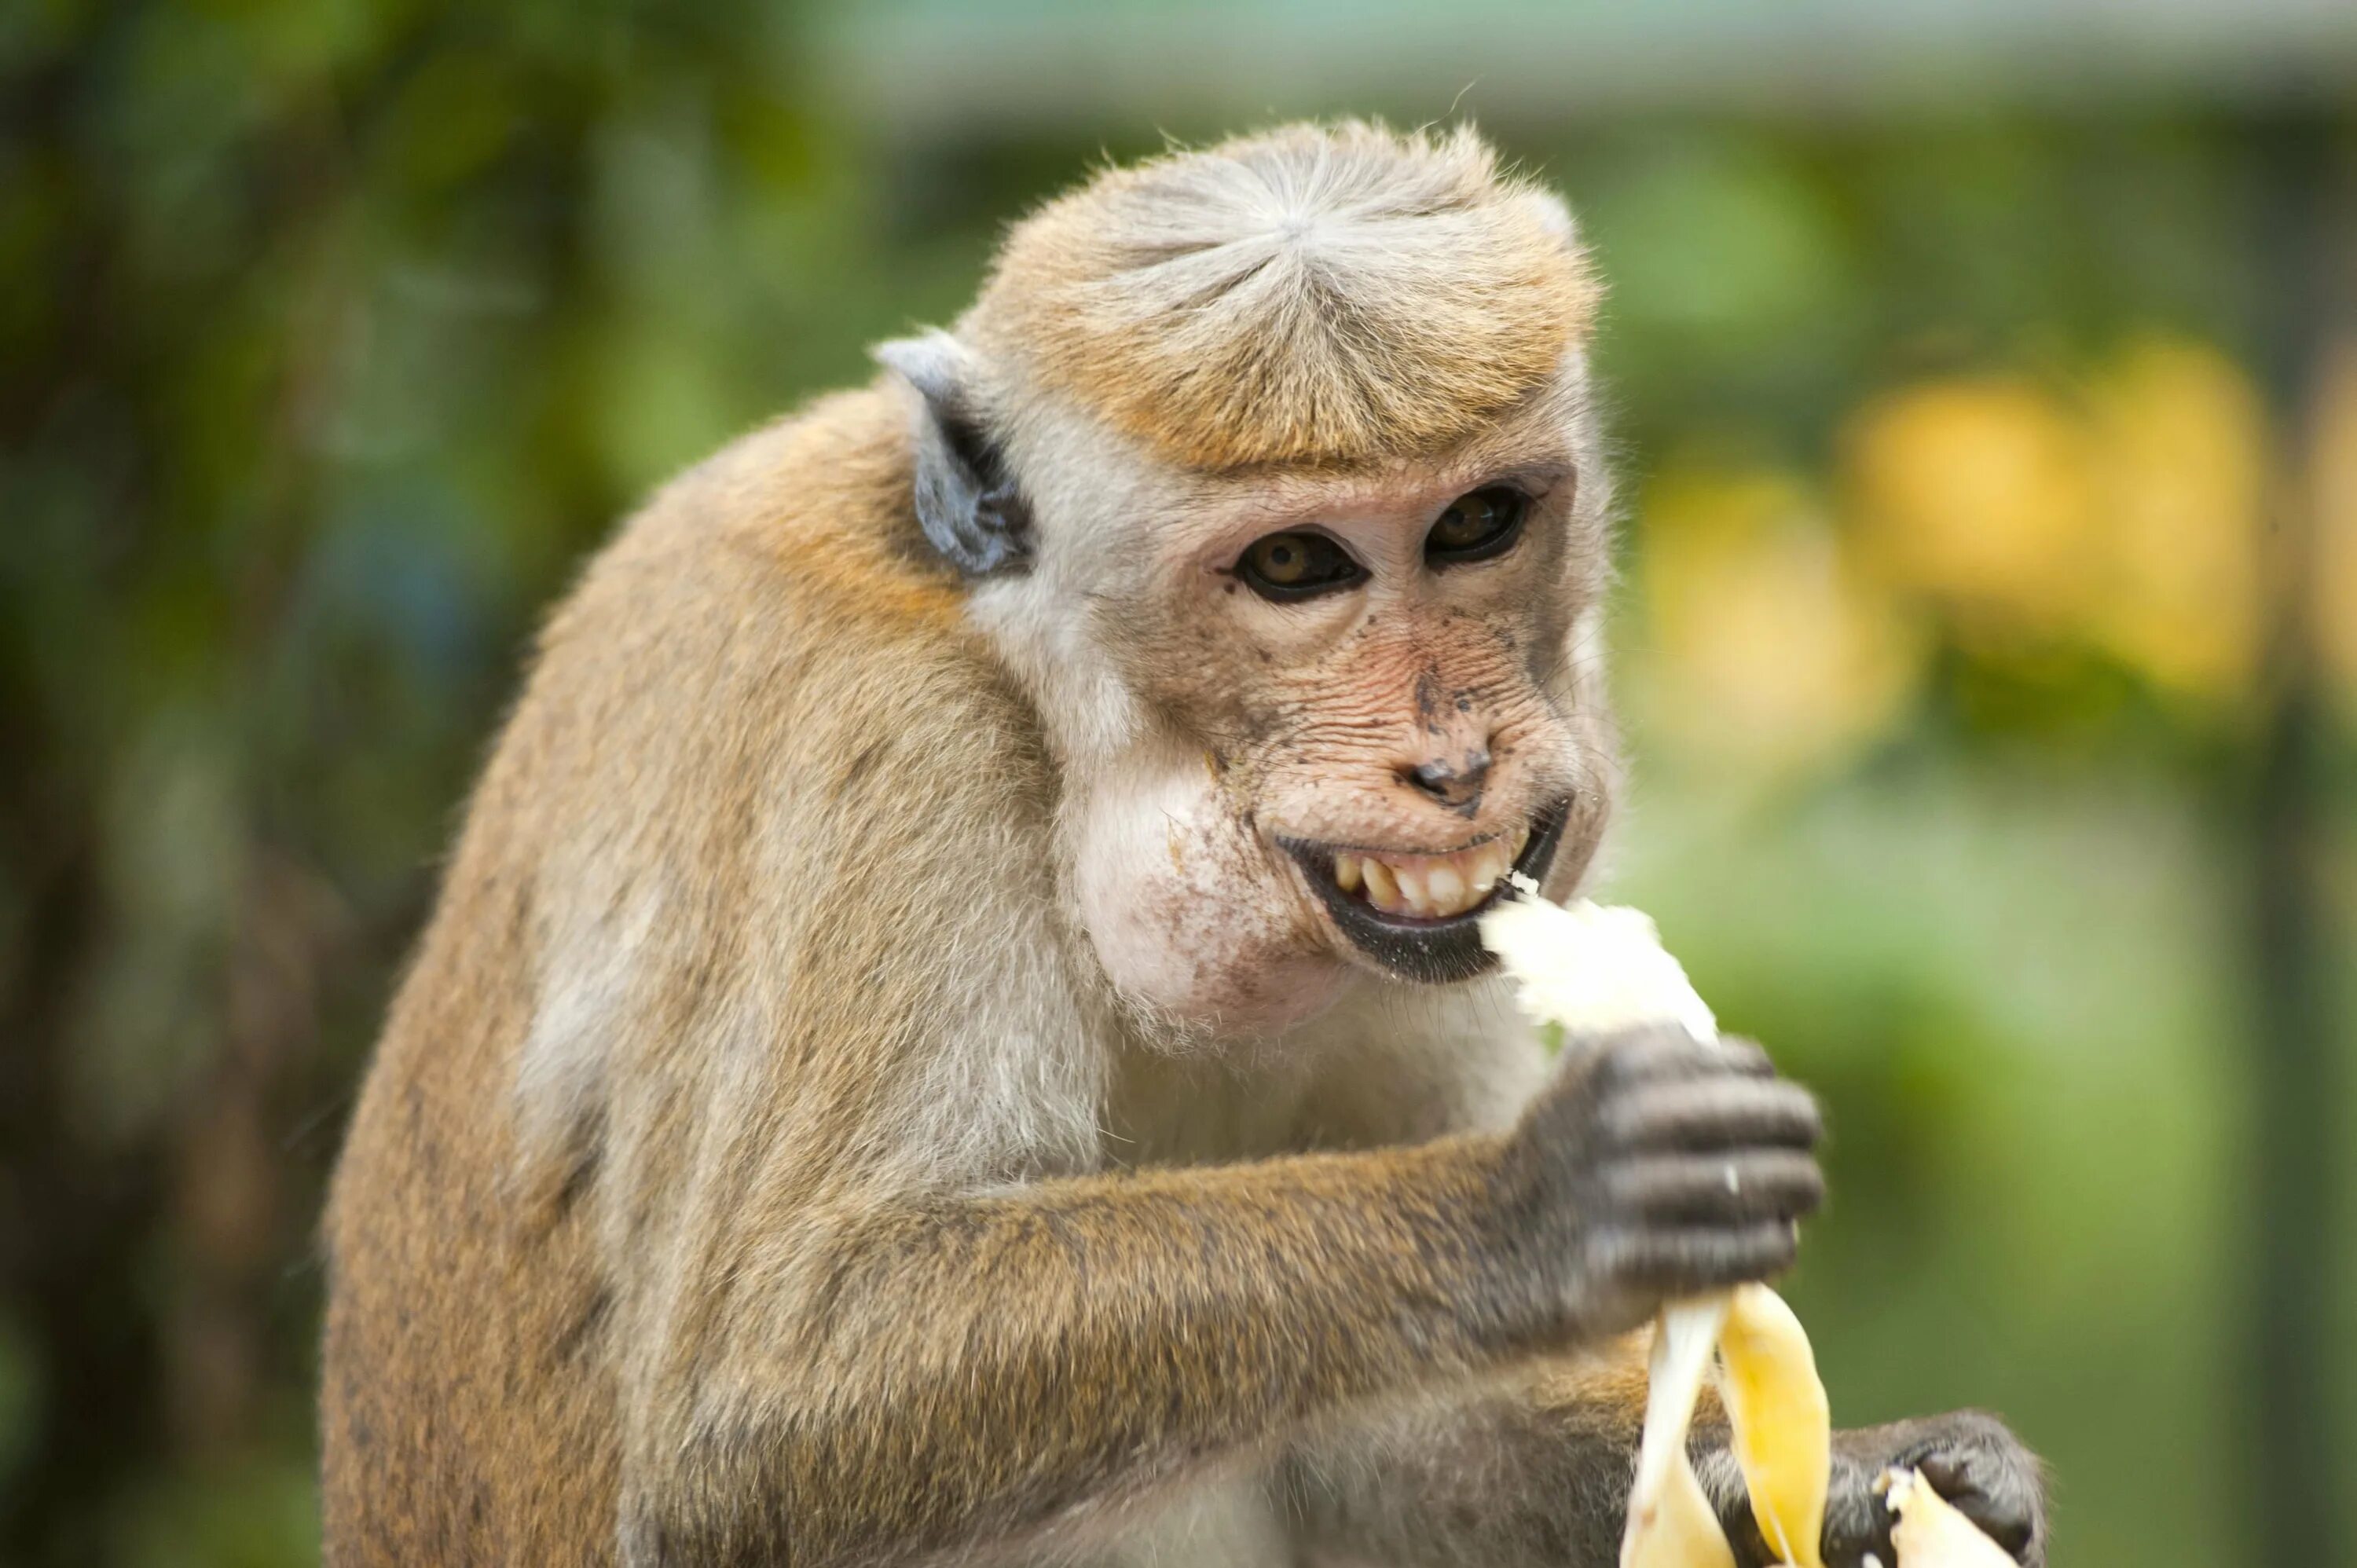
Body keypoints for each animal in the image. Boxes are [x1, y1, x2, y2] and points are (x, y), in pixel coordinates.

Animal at [318, 125, 2046, 1565]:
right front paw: (1544, 1201)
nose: (1453, 761)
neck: (1043, 697)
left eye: (1476, 525)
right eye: (1294, 566)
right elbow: (752, 1408)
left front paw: (1863, 1474)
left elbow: (1395, 1435)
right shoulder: (888, 763)